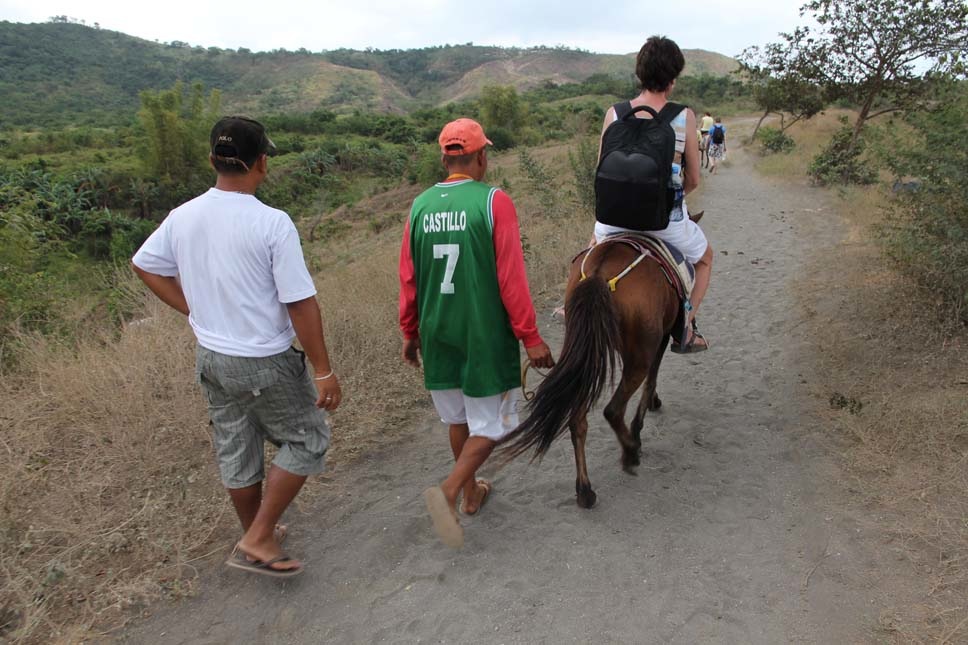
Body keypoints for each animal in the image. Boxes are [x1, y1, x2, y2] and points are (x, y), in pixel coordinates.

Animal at [500, 239, 680, 506]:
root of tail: (598, 275)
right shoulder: (661, 338)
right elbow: (651, 381)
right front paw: (644, 420)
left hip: (585, 353)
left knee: (578, 421)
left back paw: (584, 490)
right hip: (637, 355)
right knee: (613, 409)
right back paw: (631, 453)